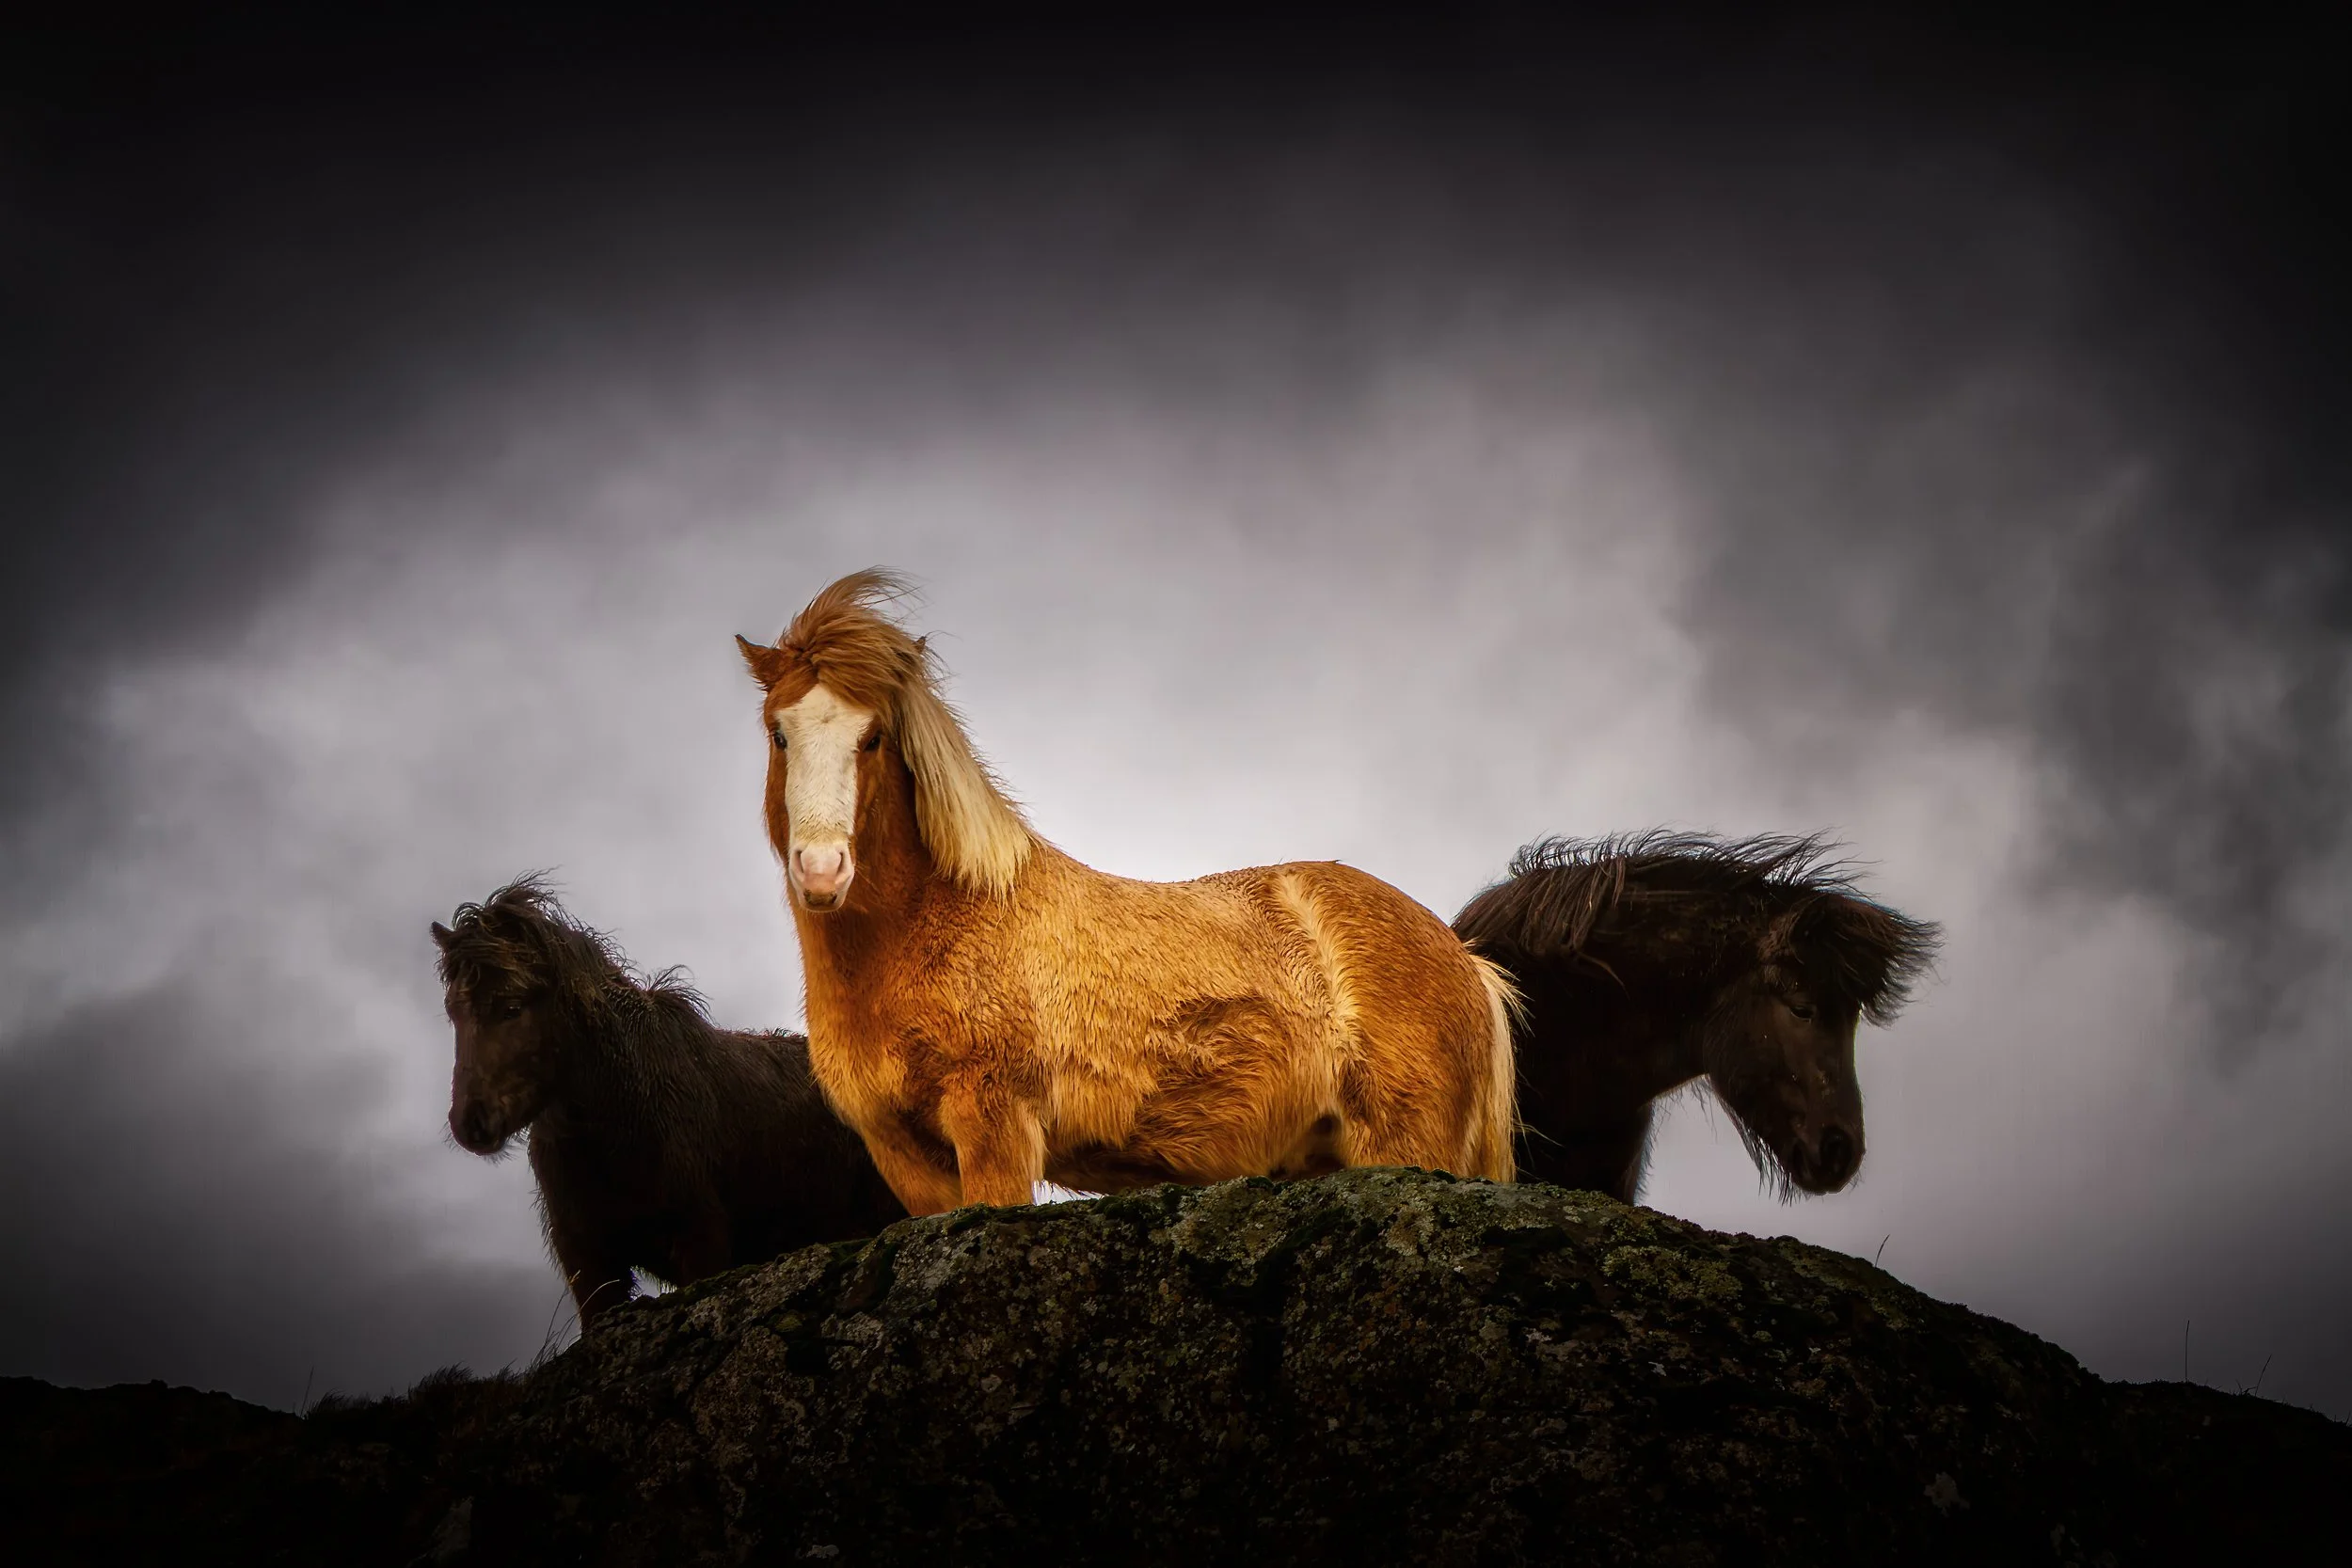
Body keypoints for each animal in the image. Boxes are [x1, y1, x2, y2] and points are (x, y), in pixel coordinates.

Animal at [432, 877, 907, 1330]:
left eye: (512, 1006)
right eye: (453, 1011)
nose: (470, 1122)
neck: (621, 1112)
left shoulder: (699, 1241)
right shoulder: (590, 1263)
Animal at [734, 569, 1521, 1215]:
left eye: (872, 737)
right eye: (778, 733)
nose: (823, 870)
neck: (927, 927)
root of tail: (1464, 959)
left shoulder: (994, 1128)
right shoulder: (903, 1153)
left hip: (1405, 1147)